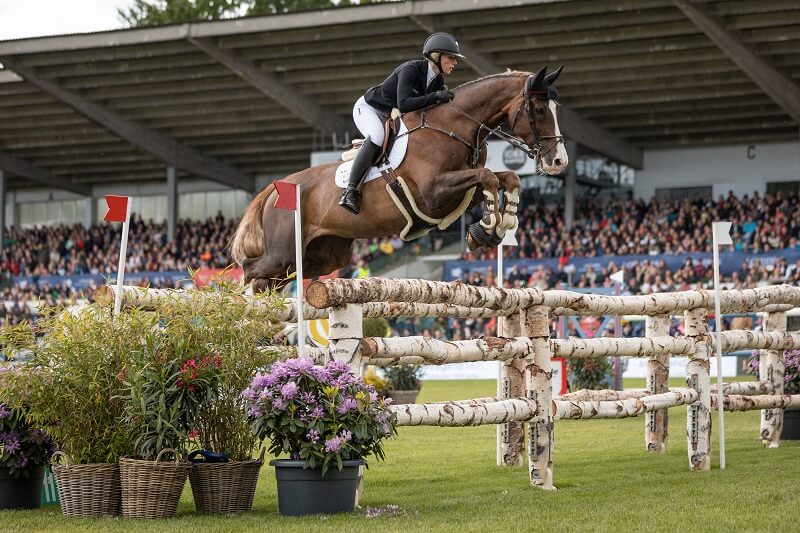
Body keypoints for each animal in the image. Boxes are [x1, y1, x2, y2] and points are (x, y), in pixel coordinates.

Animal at [231, 67, 568, 290]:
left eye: (556, 108)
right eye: (539, 109)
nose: (559, 161)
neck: (454, 127)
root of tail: (274, 190)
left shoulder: (459, 190)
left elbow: (506, 178)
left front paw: (498, 225)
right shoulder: (434, 193)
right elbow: (488, 177)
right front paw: (486, 228)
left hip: (325, 255)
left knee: (275, 278)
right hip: (283, 252)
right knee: (251, 268)